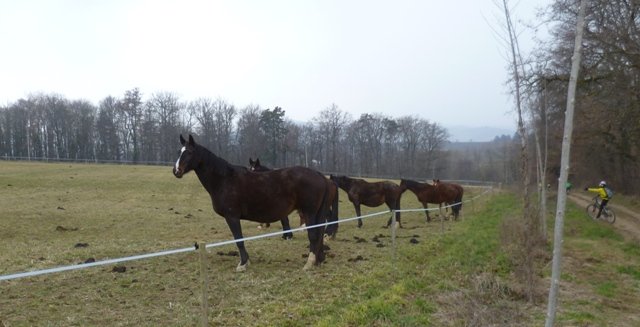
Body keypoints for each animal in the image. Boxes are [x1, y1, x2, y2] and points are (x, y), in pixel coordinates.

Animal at [172, 136, 330, 272]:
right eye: (179, 152)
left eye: (190, 152)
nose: (176, 171)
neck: (224, 179)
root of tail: (320, 175)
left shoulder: (232, 217)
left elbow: (239, 240)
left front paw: (243, 264)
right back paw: (319, 260)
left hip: (309, 213)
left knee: (314, 235)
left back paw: (309, 263)